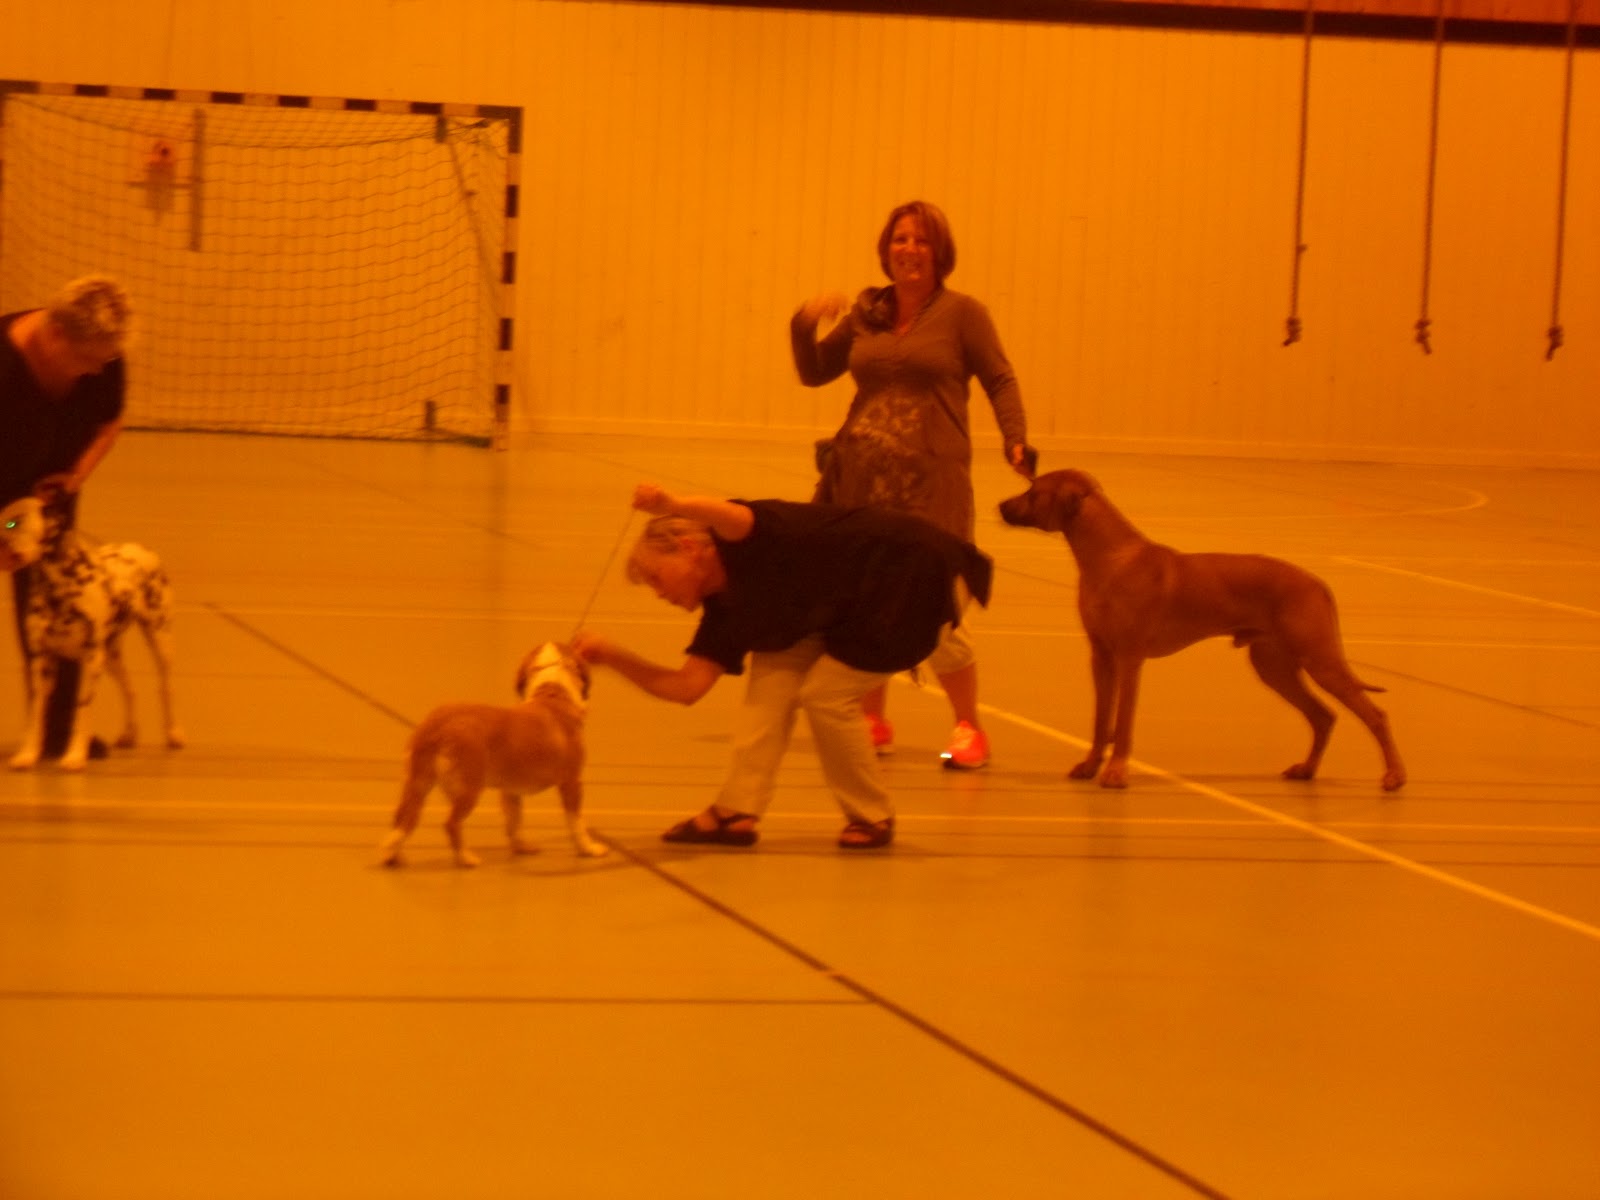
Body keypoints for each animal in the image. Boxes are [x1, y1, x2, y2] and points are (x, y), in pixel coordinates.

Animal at [0, 494, 184, 771]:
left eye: (14, 522)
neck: (58, 588)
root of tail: (141, 548)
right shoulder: (42, 663)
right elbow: (36, 715)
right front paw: (28, 755)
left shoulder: (90, 660)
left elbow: (81, 712)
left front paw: (75, 756)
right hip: (110, 656)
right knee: (130, 690)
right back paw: (129, 733)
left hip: (160, 641)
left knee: (166, 687)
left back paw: (174, 733)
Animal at [378, 641, 607, 867]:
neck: (553, 692)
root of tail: (436, 725)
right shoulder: (571, 783)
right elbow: (577, 823)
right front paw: (588, 848)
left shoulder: (510, 792)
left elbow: (514, 822)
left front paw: (521, 847)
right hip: (468, 789)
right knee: (450, 823)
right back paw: (465, 858)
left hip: (418, 784)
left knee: (401, 819)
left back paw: (392, 856)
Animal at [999, 469, 1405, 791]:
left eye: (1033, 491)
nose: (1000, 506)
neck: (1111, 560)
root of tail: (1317, 582)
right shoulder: (1101, 657)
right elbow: (1101, 721)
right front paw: (1090, 764)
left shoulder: (1130, 659)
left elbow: (1123, 722)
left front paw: (1116, 771)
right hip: (1273, 667)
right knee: (1323, 716)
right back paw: (1307, 770)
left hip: (1321, 660)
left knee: (1376, 716)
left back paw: (1394, 776)